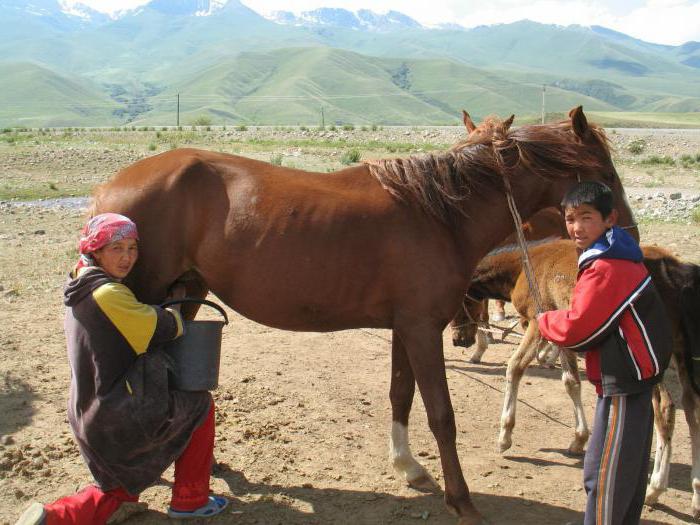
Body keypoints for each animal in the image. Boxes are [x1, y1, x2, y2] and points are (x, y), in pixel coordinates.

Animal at [91, 107, 636, 524]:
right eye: (606, 176)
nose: (626, 233)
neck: (440, 215)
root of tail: (111, 187)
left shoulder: (407, 328)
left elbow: (401, 395)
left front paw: (408, 467)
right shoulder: (421, 329)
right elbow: (441, 415)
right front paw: (461, 500)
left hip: (182, 297)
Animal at [454, 241, 700, 516]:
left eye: (460, 303)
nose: (457, 340)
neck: (522, 267)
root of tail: (672, 269)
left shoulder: (538, 322)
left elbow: (515, 367)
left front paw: (505, 436)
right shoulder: (564, 329)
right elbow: (570, 381)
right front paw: (579, 439)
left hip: (652, 357)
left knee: (666, 408)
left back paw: (655, 488)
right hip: (681, 349)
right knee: (692, 407)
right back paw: (696, 494)